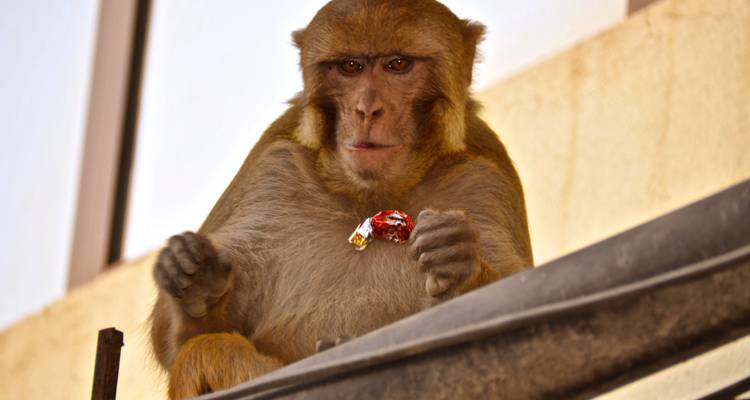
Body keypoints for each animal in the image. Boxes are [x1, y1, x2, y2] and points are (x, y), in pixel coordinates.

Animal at [150, 0, 533, 398]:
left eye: (398, 64)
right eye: (350, 67)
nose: (366, 110)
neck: (370, 197)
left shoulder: (485, 175)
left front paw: (458, 262)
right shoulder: (271, 164)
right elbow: (186, 343)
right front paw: (197, 287)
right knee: (204, 351)